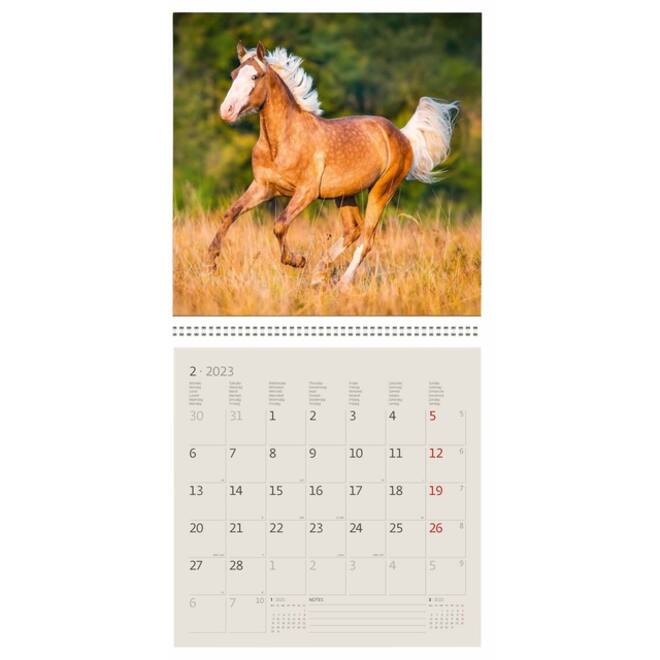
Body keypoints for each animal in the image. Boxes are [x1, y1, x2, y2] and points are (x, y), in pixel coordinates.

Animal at [210, 41, 458, 288]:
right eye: (233, 75)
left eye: (255, 76)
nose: (226, 110)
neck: (281, 142)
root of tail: (403, 136)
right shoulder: (264, 187)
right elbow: (230, 214)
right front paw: (210, 263)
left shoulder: (306, 192)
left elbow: (279, 225)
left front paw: (297, 260)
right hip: (344, 194)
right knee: (353, 229)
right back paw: (319, 275)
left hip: (382, 190)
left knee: (366, 239)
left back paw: (341, 284)